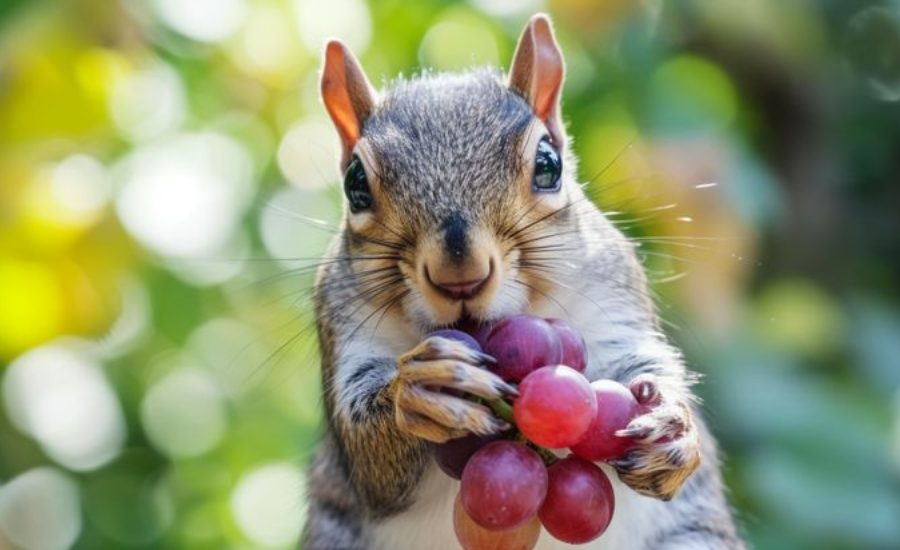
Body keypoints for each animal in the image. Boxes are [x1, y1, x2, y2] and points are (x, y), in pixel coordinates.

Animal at [302, 12, 744, 550]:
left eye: (548, 165)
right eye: (355, 184)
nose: (460, 275)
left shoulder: (614, 301)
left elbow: (646, 363)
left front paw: (674, 429)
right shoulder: (342, 325)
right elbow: (368, 457)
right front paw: (420, 389)